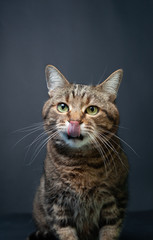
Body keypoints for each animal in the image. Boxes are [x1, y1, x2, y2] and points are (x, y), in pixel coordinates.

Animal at [27, 65, 129, 240]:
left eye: (92, 110)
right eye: (62, 107)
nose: (74, 121)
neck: (80, 160)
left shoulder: (115, 198)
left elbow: (110, 230)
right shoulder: (56, 202)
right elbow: (65, 232)